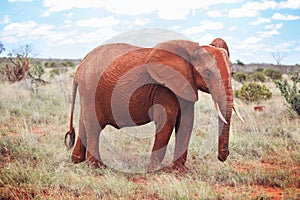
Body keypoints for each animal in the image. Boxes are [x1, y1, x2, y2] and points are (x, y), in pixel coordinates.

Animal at [63, 38, 241, 172]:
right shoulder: (164, 87)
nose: (223, 157)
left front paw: (179, 171)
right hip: (91, 87)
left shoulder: (185, 85)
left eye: (233, 73)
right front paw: (153, 171)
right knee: (94, 126)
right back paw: (97, 167)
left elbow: (186, 122)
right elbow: (166, 121)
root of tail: (79, 68)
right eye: (207, 73)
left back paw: (76, 161)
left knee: (84, 122)